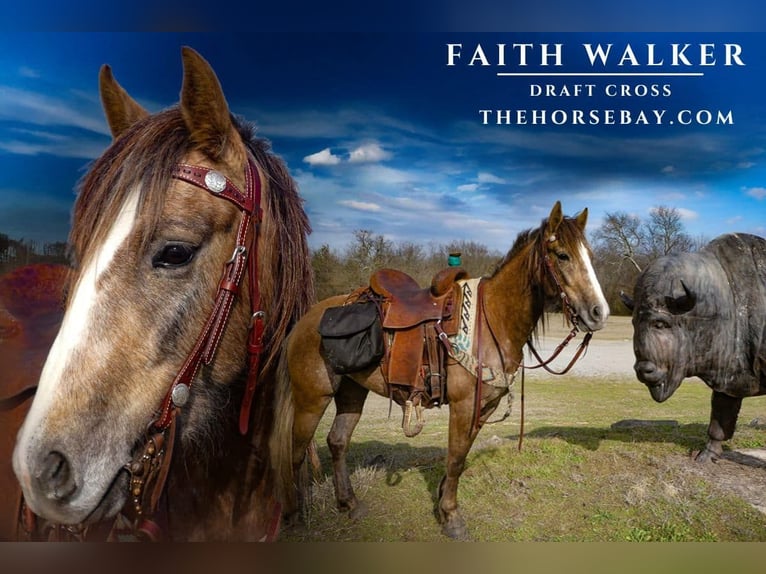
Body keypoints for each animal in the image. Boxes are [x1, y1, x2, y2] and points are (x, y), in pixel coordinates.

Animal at [271, 201, 609, 539]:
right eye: (562, 255)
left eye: (590, 256)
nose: (599, 313)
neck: (491, 320)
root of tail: (305, 320)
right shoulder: (463, 406)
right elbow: (457, 457)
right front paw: (452, 518)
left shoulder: (484, 406)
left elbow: (459, 456)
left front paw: (443, 504)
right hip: (312, 398)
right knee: (295, 451)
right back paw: (294, 517)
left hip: (352, 391)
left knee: (338, 442)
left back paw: (349, 504)